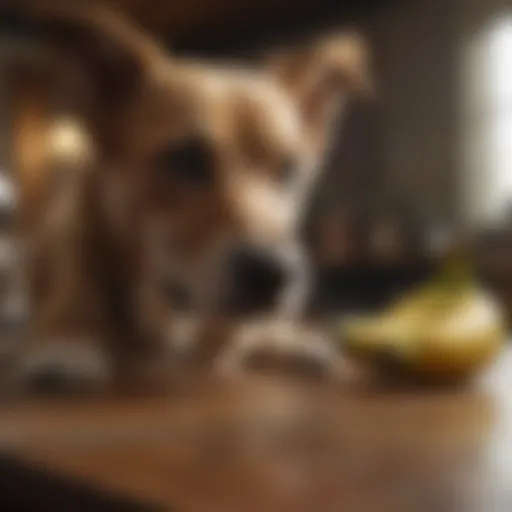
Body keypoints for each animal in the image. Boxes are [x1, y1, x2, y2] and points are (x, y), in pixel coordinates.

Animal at [16, 1, 372, 392]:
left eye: (288, 168)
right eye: (186, 159)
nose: (273, 275)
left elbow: (245, 336)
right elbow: (67, 309)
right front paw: (64, 341)